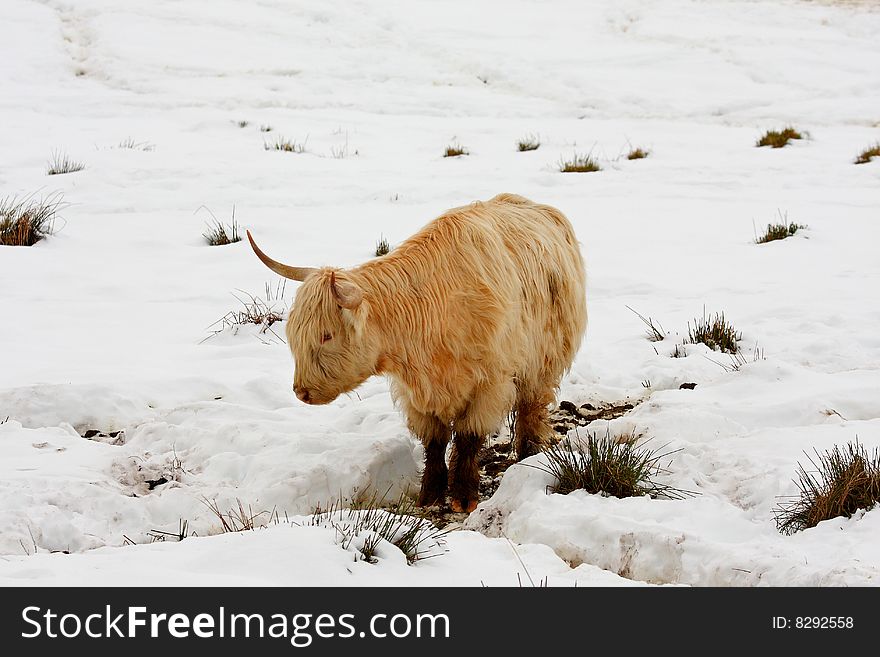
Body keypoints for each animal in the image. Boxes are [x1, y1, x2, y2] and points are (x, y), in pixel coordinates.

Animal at [248, 192, 588, 510]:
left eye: (326, 335)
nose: (301, 392)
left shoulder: (489, 384)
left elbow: (468, 438)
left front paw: (463, 496)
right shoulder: (417, 394)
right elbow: (434, 442)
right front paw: (430, 494)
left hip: (543, 359)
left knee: (531, 405)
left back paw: (527, 452)